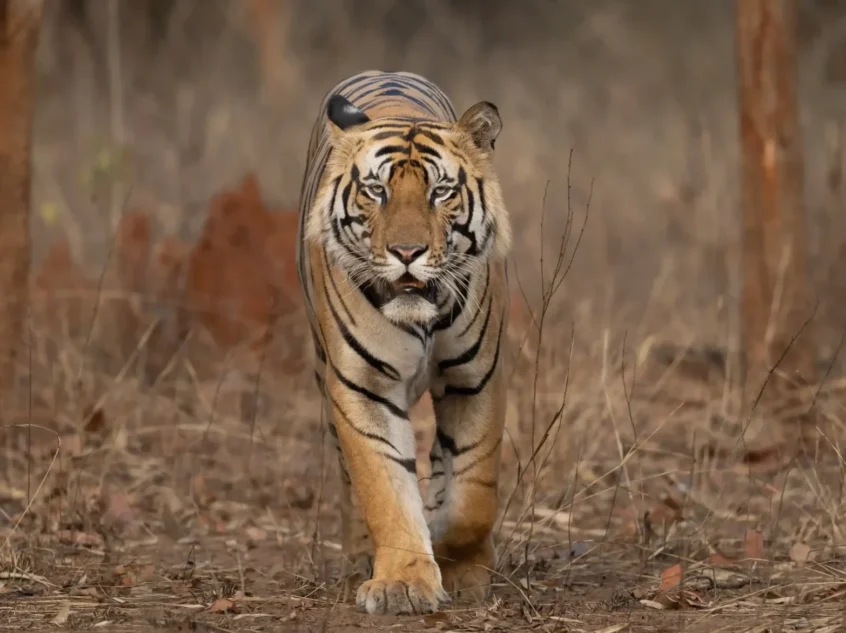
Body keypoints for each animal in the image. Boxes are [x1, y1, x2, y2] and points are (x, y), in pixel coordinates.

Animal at [296, 70, 511, 616]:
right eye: (376, 191)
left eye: (441, 192)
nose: (407, 252)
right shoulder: (361, 386)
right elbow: (384, 488)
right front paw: (402, 583)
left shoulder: (476, 379)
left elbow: (473, 493)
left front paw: (461, 565)